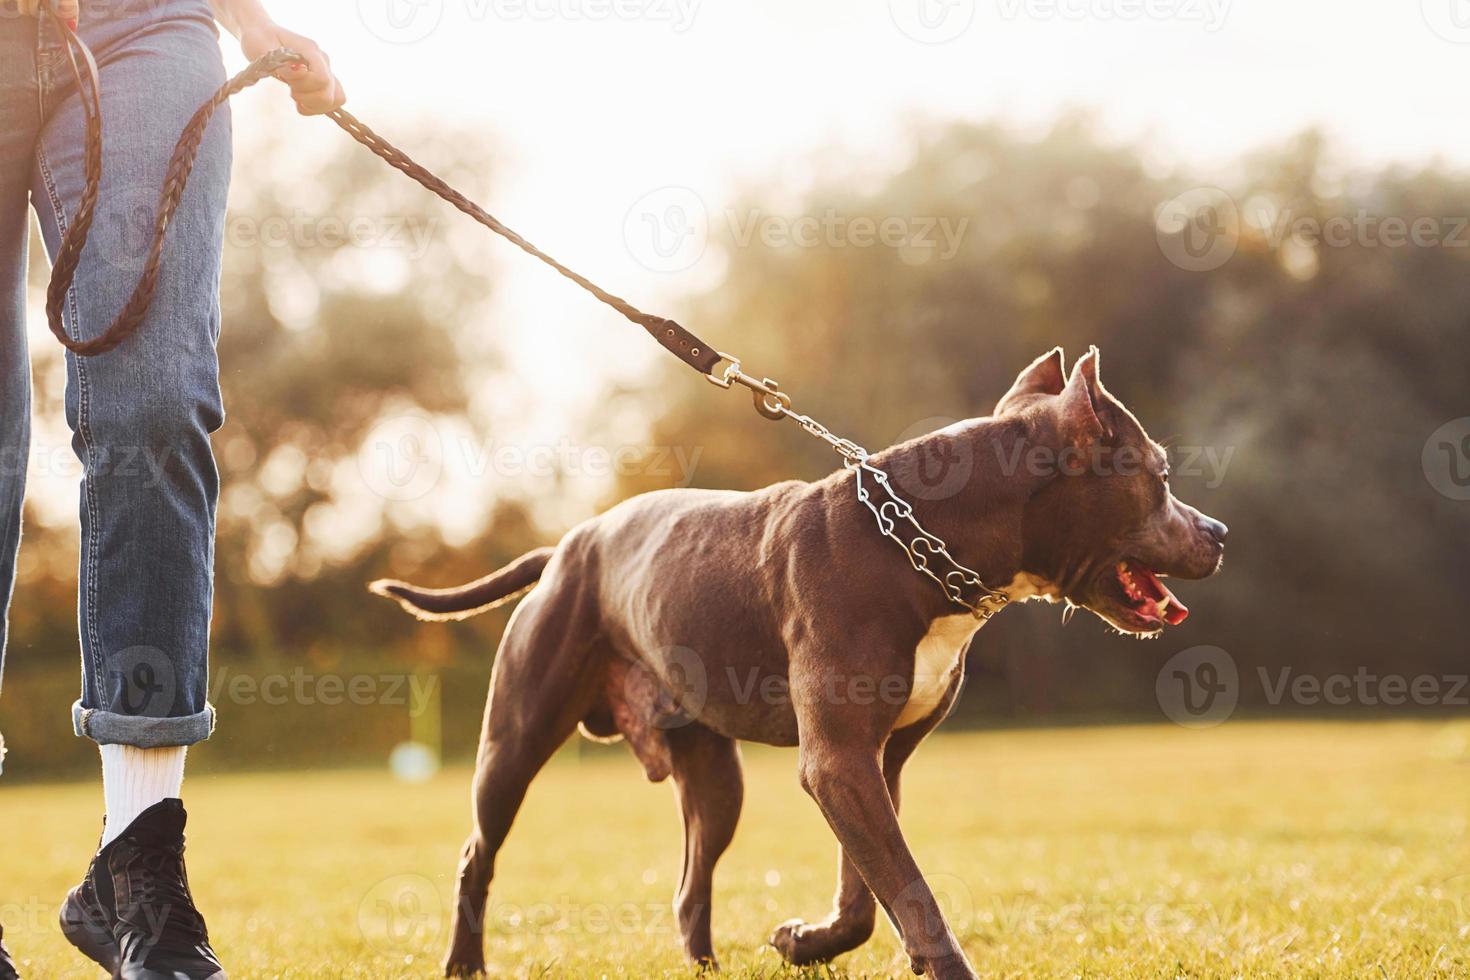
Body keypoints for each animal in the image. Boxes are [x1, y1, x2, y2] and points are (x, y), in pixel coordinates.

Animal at [370, 348, 1228, 975]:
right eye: (1159, 474)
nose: (1218, 531)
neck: (921, 541)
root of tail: (564, 549)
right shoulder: (840, 759)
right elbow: (909, 890)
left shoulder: (874, 759)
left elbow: (868, 891)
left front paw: (807, 942)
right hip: (513, 745)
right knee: (476, 855)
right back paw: (463, 963)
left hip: (714, 779)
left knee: (690, 885)